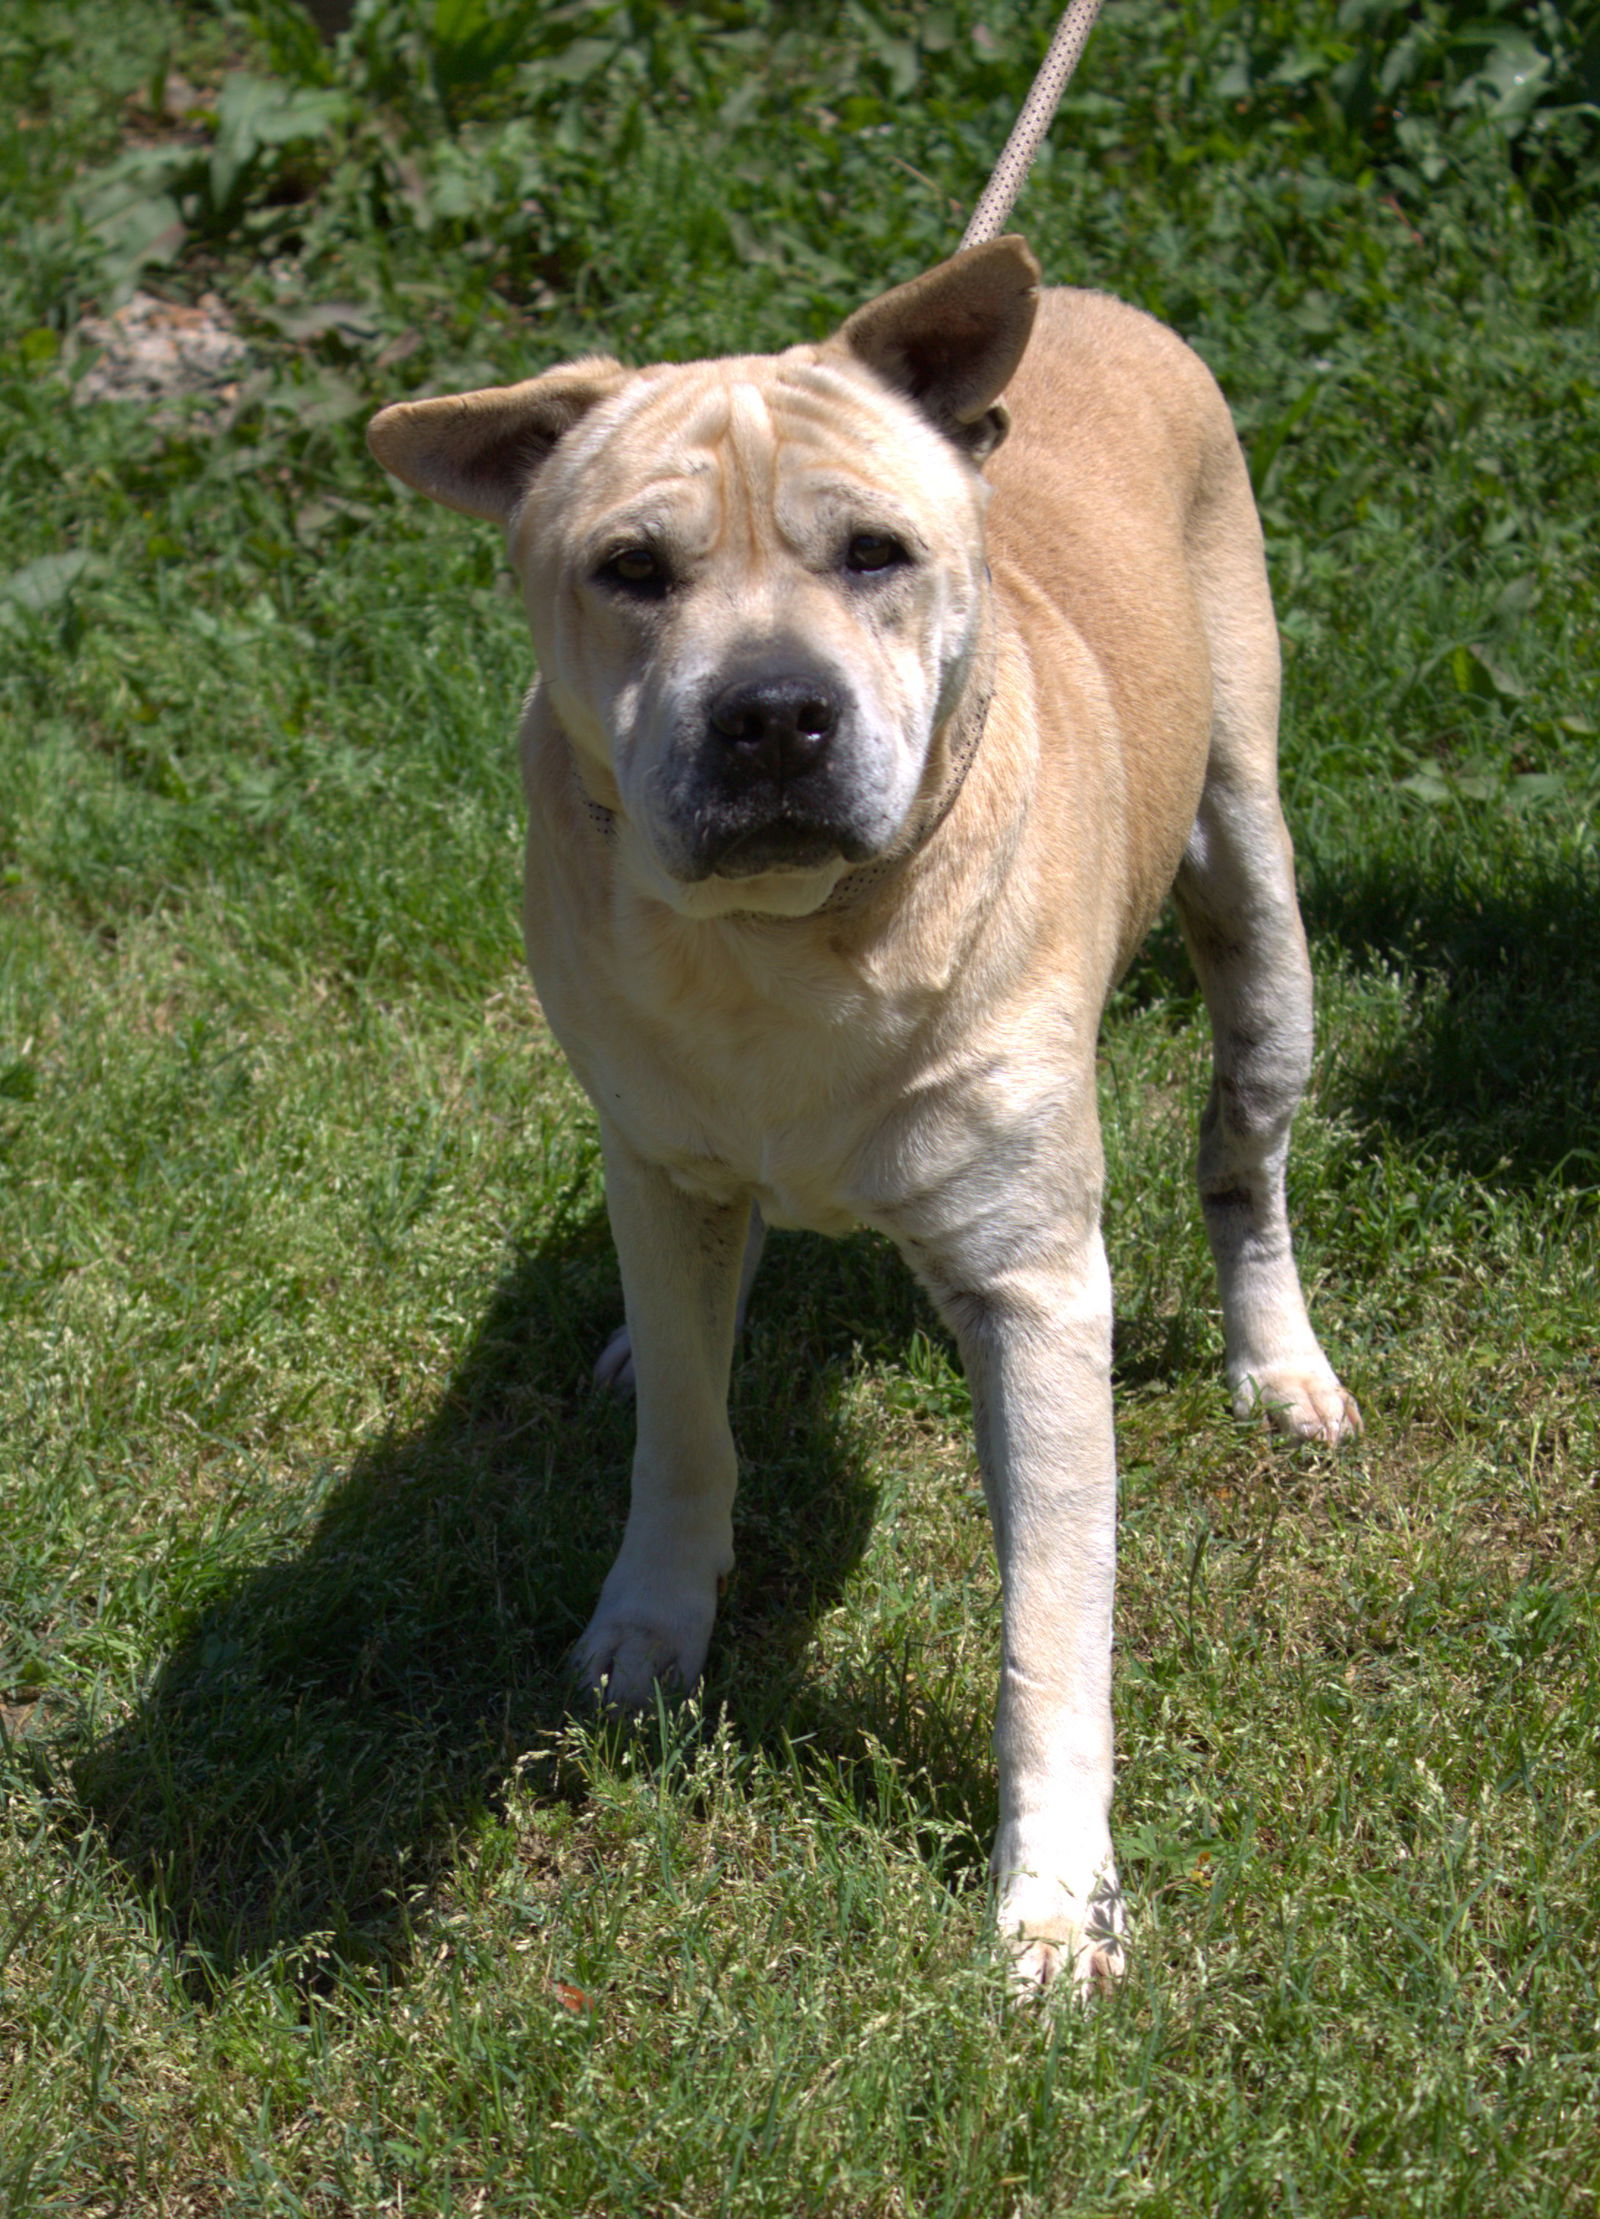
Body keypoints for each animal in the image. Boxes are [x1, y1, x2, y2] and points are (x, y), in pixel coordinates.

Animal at [368, 242, 1358, 1997]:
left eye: (876, 552)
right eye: (631, 568)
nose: (771, 713)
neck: (791, 940)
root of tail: (1086, 297)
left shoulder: (1037, 1288)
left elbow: (1051, 1619)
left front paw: (1055, 1895)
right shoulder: (661, 1163)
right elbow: (686, 1426)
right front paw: (650, 1626)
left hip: (1254, 885)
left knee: (1246, 1151)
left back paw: (1279, 1359)